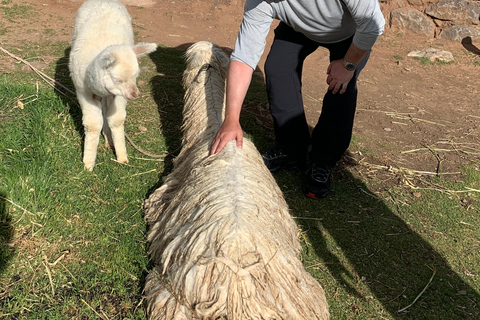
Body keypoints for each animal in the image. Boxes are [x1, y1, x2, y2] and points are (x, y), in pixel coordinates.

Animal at [68, 0, 156, 170]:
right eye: (117, 79)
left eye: (136, 76)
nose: (134, 94)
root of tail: (103, 1)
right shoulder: (83, 91)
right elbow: (93, 124)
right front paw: (88, 163)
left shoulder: (119, 96)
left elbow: (116, 120)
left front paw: (122, 158)